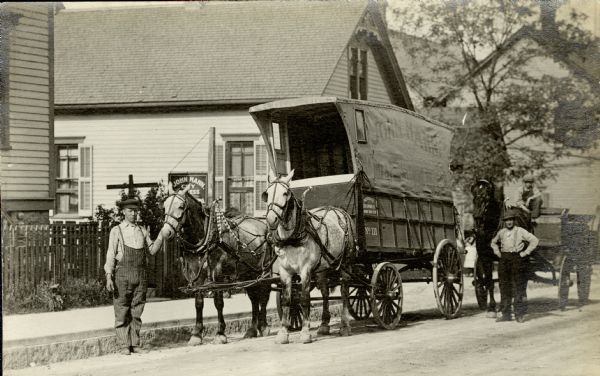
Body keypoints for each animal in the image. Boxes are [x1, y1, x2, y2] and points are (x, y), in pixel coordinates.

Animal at [150, 184, 272, 346]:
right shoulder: (195, 272)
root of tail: (263, 226)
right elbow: (198, 302)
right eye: (163, 206)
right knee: (254, 298)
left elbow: (218, 302)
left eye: (181, 206)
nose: (166, 232)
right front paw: (196, 334)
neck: (204, 235)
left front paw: (220, 333)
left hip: (264, 271)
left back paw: (264, 326)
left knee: (264, 296)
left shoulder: (217, 272)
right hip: (249, 273)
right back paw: (252, 329)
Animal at [262, 170, 356, 344]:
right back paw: (324, 325)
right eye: (267, 193)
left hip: (346, 264)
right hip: (322, 270)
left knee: (345, 292)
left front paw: (305, 332)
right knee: (325, 293)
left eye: (285, 193)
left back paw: (345, 325)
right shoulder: (285, 272)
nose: (271, 219)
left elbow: (305, 299)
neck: (292, 237)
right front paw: (283, 333)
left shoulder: (305, 270)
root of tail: (339, 211)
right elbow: (287, 300)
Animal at [468, 178, 502, 314]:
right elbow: (488, 281)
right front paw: (492, 307)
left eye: (487, 199)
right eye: (473, 199)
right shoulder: (486, 258)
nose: (477, 218)